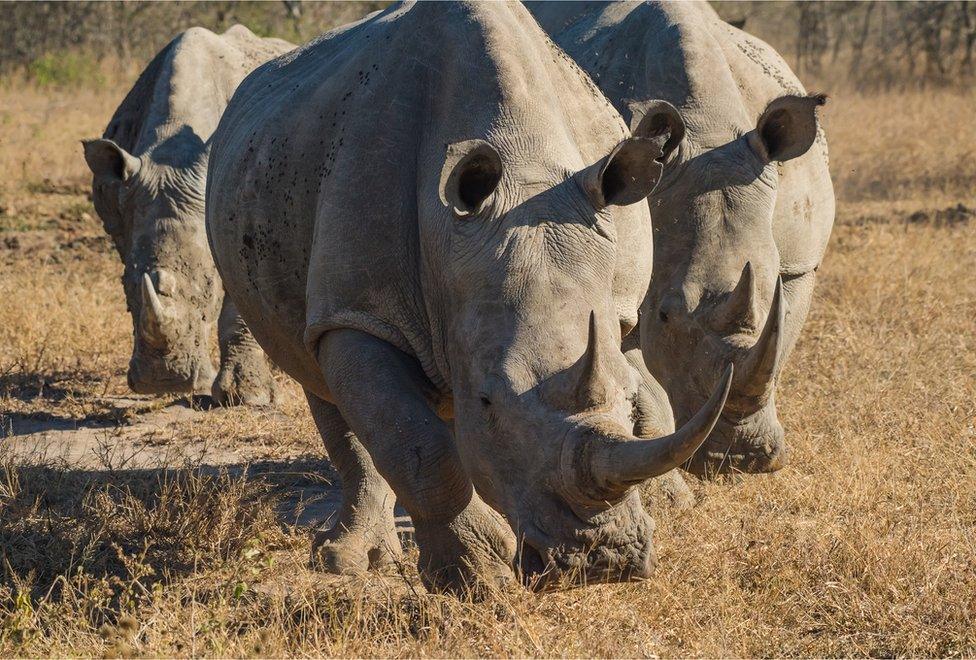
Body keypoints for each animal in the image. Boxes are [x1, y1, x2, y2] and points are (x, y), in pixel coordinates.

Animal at [208, 1, 732, 592]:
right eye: (487, 401)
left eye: (623, 398)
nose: (604, 559)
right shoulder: (360, 308)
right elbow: (418, 447)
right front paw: (478, 576)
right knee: (320, 368)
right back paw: (348, 561)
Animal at [528, 0, 836, 474]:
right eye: (665, 315)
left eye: (774, 296)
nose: (738, 459)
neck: (710, 131)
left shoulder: (800, 265)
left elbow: (778, 344)